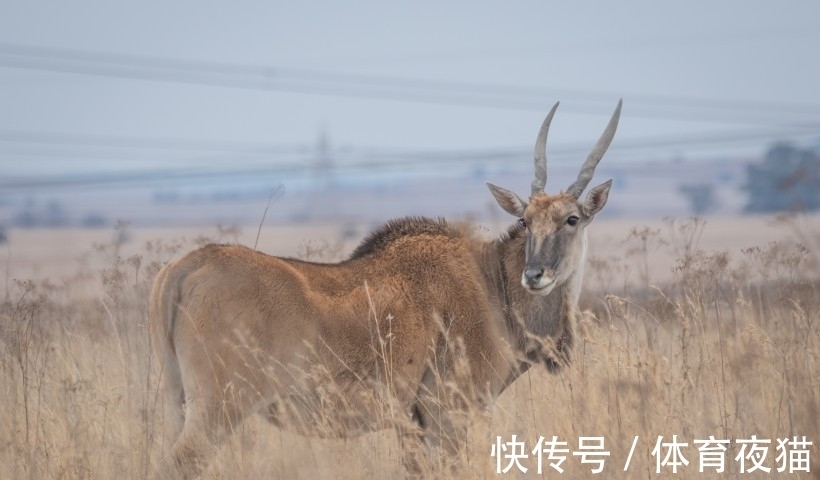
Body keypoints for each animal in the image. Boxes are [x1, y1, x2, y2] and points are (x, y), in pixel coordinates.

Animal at [147, 99, 620, 478]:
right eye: (525, 220)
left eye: (571, 219)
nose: (535, 274)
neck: (492, 285)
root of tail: (185, 268)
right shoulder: (448, 416)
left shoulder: (412, 427)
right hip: (217, 411)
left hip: (177, 405)